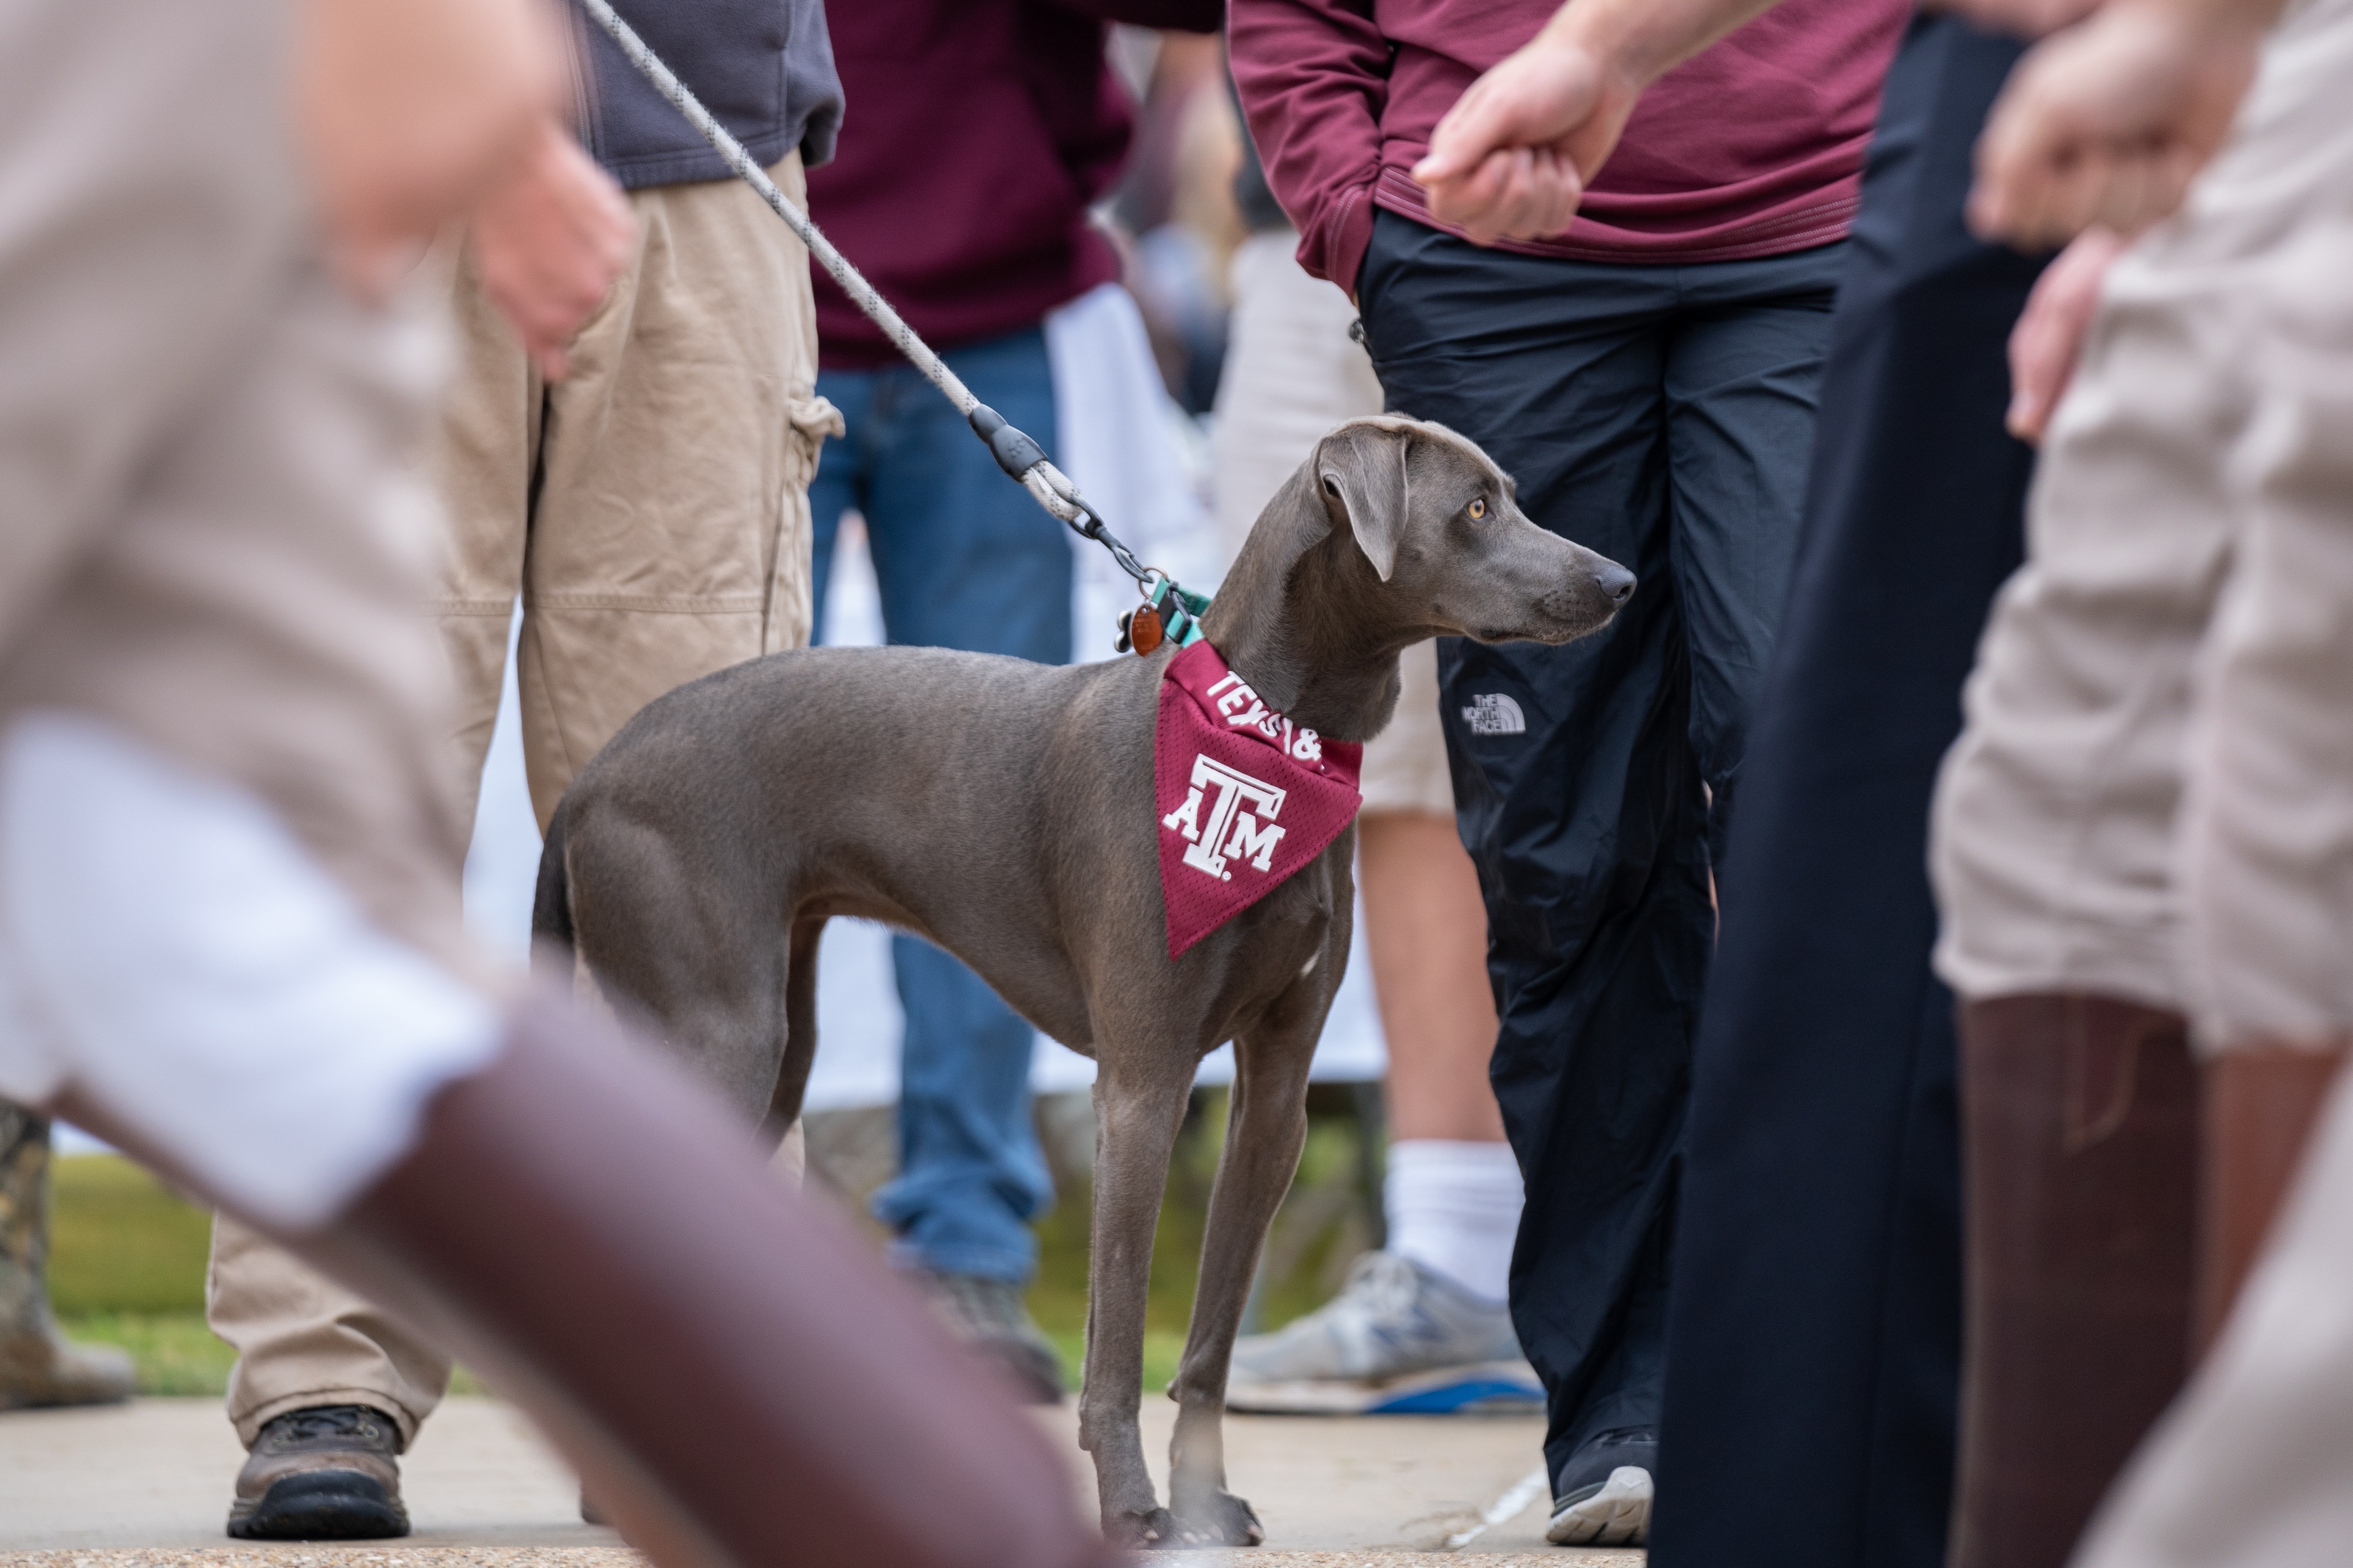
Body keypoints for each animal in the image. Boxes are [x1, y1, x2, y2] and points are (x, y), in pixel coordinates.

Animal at [534, 414, 1637, 1542]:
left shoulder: (1272, 1097)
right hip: (722, 1039)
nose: (1622, 580)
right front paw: (1135, 1511)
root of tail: (594, 778)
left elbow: (1205, 1343)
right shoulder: (1142, 1088)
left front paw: (1203, 1505)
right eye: (1474, 508)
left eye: (1508, 495)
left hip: (778, 1054)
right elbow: (1115, 1345)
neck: (1266, 733)